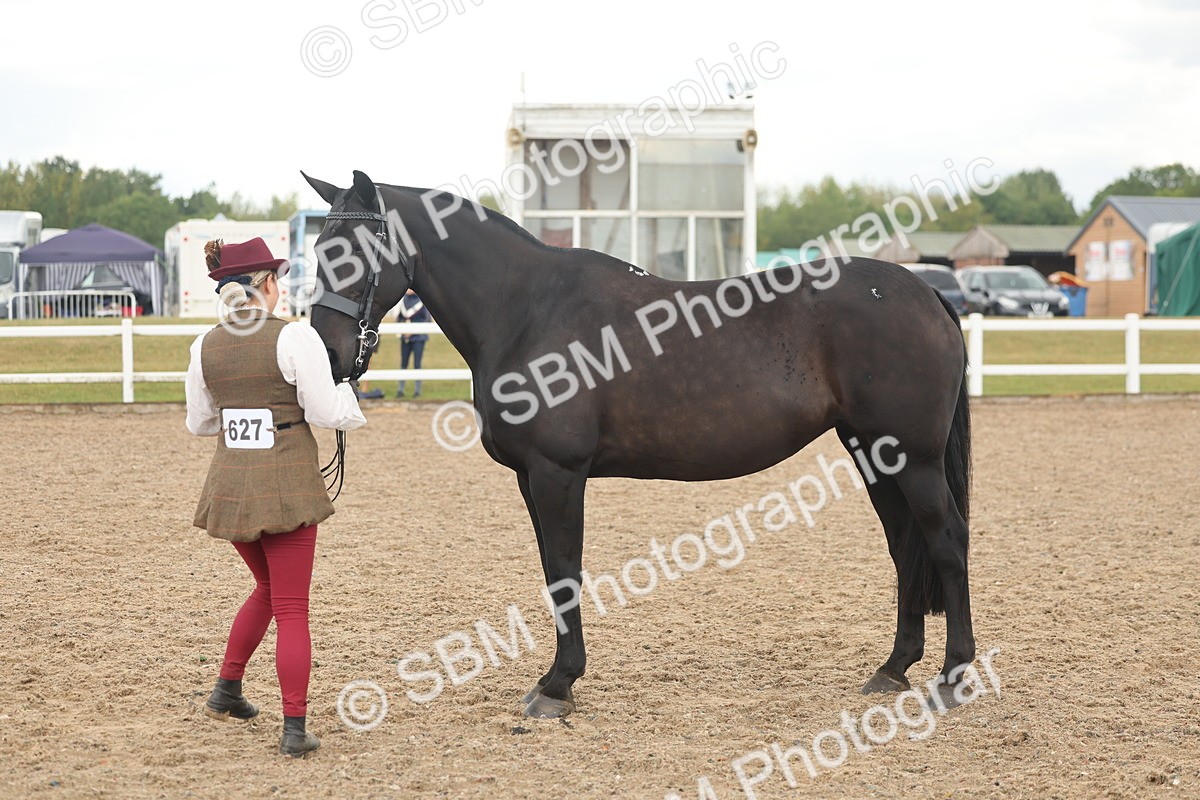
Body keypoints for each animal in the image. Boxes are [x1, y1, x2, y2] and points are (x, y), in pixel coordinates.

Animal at [301, 170, 974, 718]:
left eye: (353, 251)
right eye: (317, 249)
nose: (327, 353)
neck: (526, 309)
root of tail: (923, 293)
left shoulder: (557, 472)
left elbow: (565, 570)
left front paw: (557, 686)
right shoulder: (531, 477)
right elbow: (553, 572)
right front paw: (556, 679)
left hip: (912, 459)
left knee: (945, 541)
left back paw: (953, 677)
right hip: (874, 454)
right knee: (904, 547)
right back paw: (893, 669)